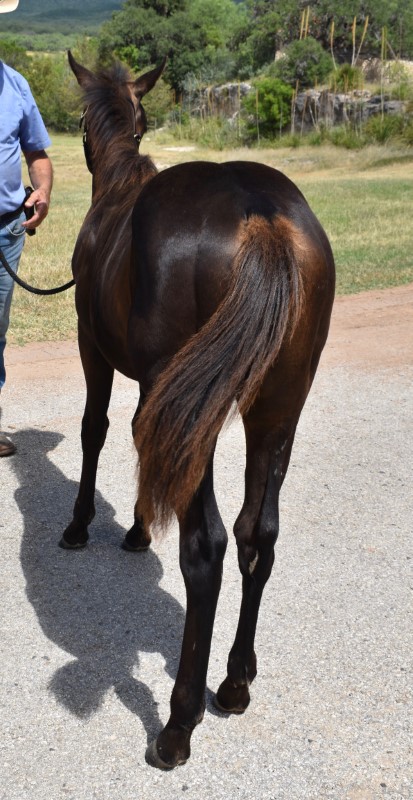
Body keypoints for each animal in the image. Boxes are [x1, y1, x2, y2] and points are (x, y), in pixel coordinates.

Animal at [63, 53, 334, 772]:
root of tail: (261, 217)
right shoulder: (163, 394)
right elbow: (141, 444)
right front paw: (135, 530)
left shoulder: (92, 347)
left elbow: (96, 431)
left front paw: (80, 526)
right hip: (275, 410)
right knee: (257, 536)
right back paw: (235, 682)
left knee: (207, 547)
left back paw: (178, 726)